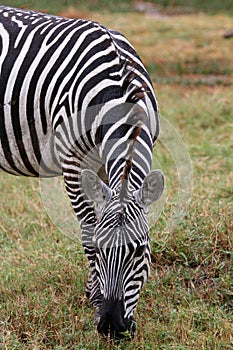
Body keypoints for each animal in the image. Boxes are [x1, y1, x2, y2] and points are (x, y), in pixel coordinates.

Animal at [0, 5, 164, 340]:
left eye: (140, 251)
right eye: (101, 251)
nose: (112, 327)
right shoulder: (73, 165)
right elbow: (88, 228)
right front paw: (96, 298)